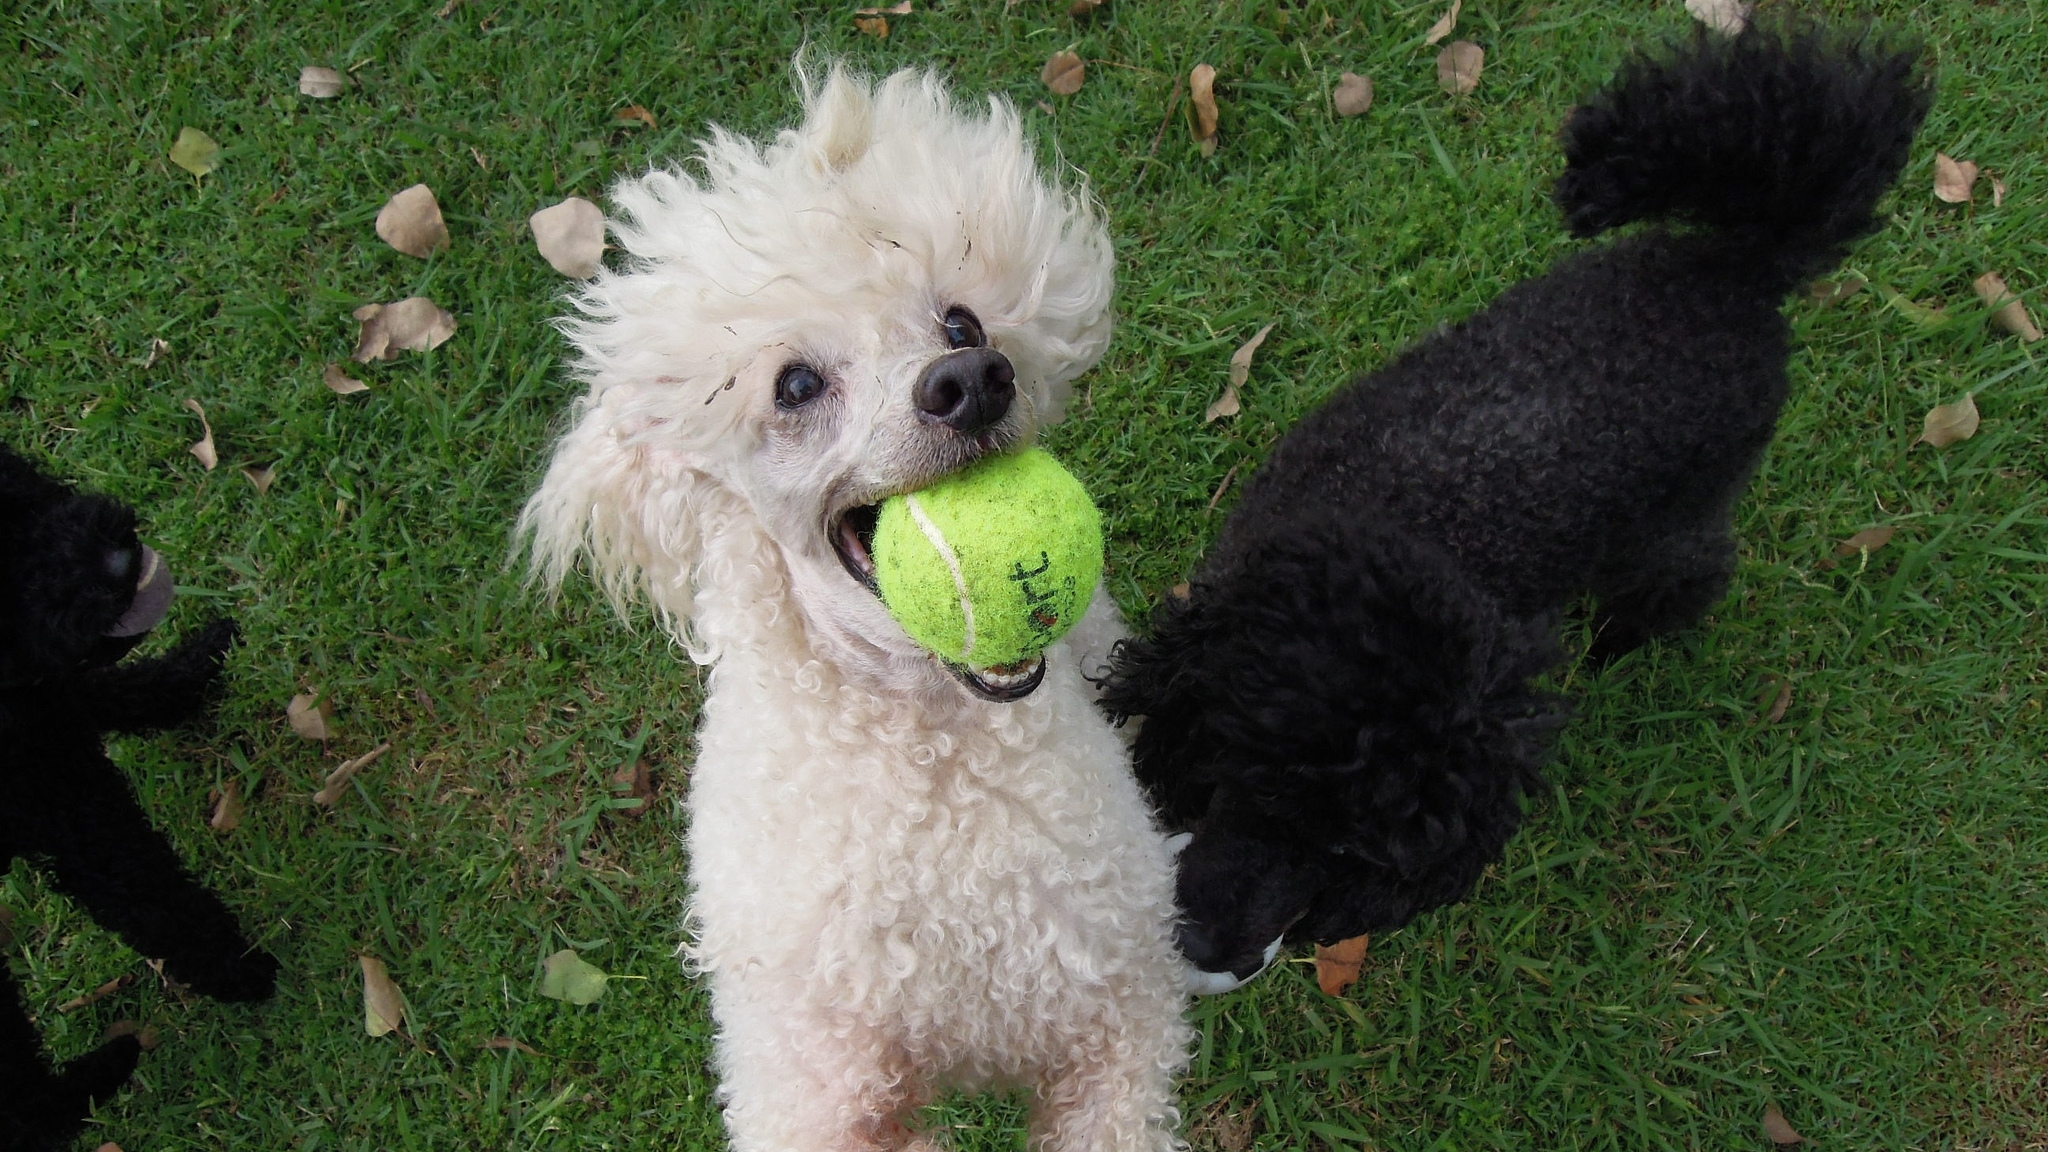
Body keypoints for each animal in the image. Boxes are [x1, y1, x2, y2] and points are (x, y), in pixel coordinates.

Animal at [1, 444, 276, 1139]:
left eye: (9, 489)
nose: (119, 563)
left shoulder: (47, 713)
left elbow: (105, 690)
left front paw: (192, 668)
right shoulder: (68, 806)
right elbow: (153, 896)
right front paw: (240, 968)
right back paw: (101, 1074)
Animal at [1097, 24, 1925, 988]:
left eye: (1356, 859)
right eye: (1242, 776)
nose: (1213, 953)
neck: (1410, 530)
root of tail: (1745, 262)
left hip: (1674, 522)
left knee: (1692, 573)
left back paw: (1622, 641)